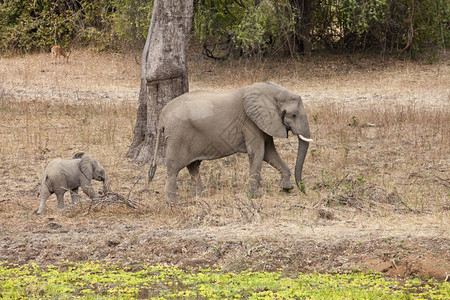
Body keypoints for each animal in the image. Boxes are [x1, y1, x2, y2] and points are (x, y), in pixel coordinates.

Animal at [149, 82, 312, 204]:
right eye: (293, 115)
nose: (303, 190)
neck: (273, 92)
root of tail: (162, 116)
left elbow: (268, 153)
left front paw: (286, 188)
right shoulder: (250, 122)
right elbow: (258, 153)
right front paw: (256, 195)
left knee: (193, 165)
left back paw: (201, 194)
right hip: (178, 136)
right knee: (174, 167)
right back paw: (173, 201)